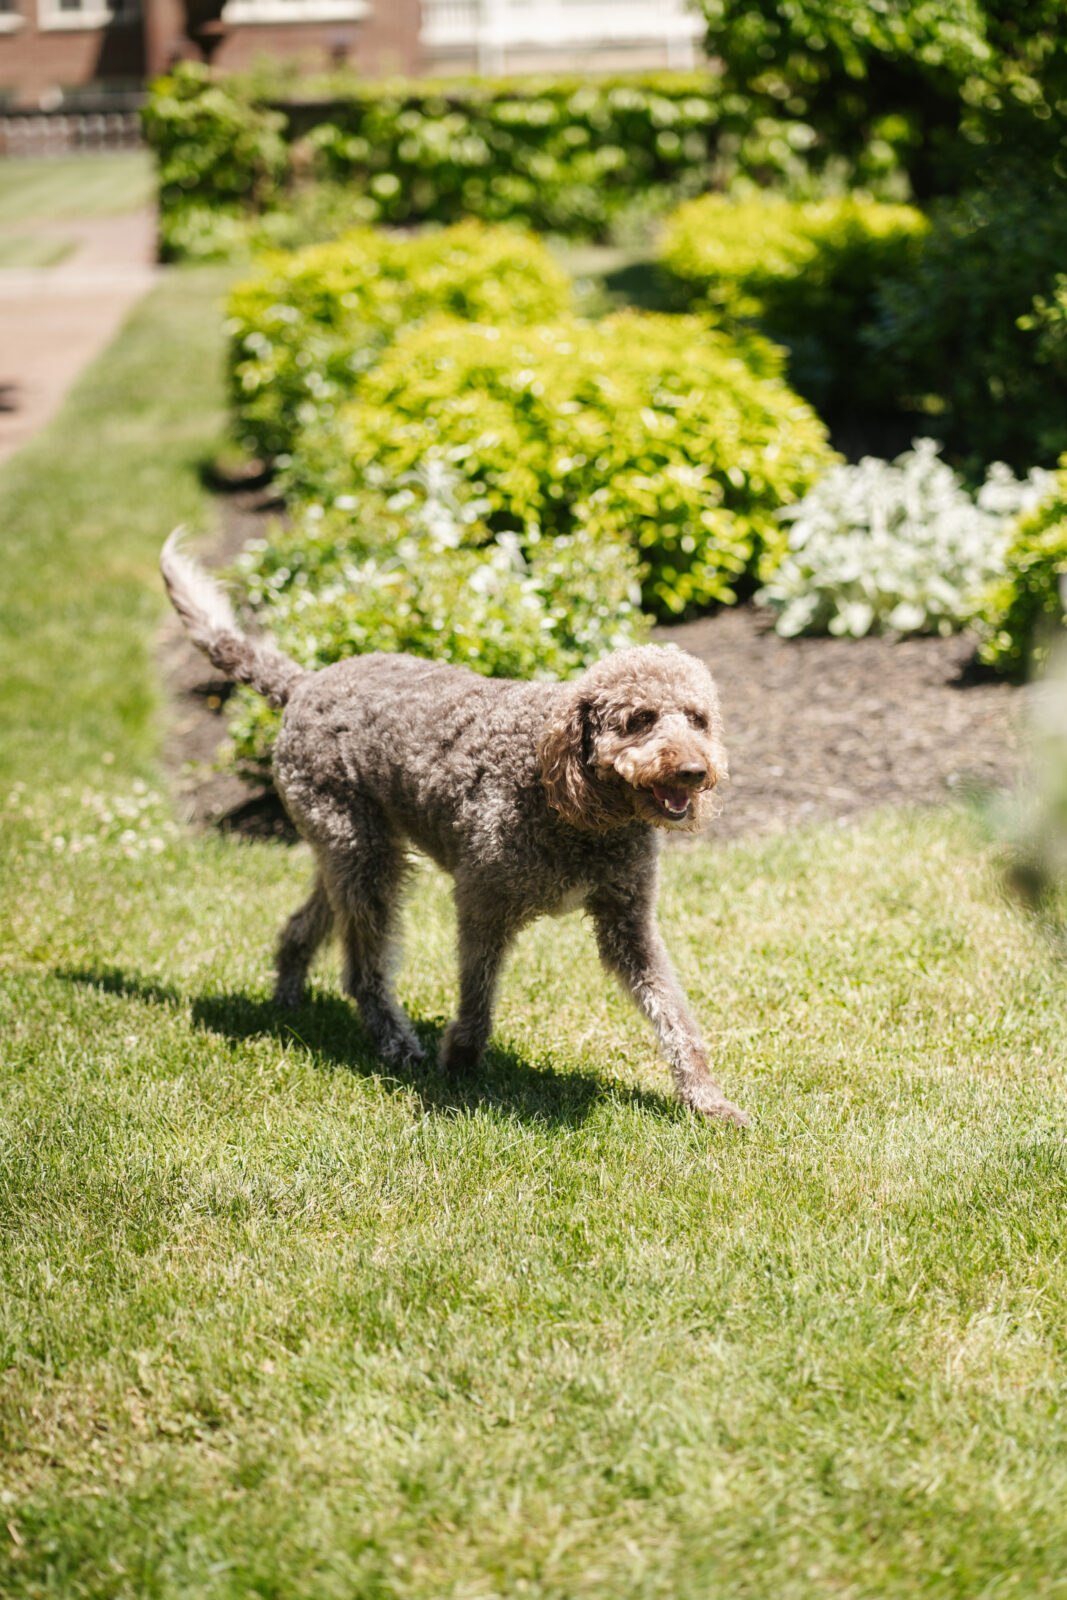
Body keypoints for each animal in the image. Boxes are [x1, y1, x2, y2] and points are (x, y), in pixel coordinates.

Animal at [163, 534, 751, 1126]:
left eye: (697, 718)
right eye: (640, 719)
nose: (694, 771)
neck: (578, 810)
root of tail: (305, 682)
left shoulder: (628, 920)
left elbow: (671, 1010)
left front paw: (706, 1099)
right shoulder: (482, 902)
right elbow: (477, 992)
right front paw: (462, 1063)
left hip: (350, 849)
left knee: (305, 924)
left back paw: (287, 997)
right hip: (362, 853)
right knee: (363, 969)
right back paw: (395, 1044)